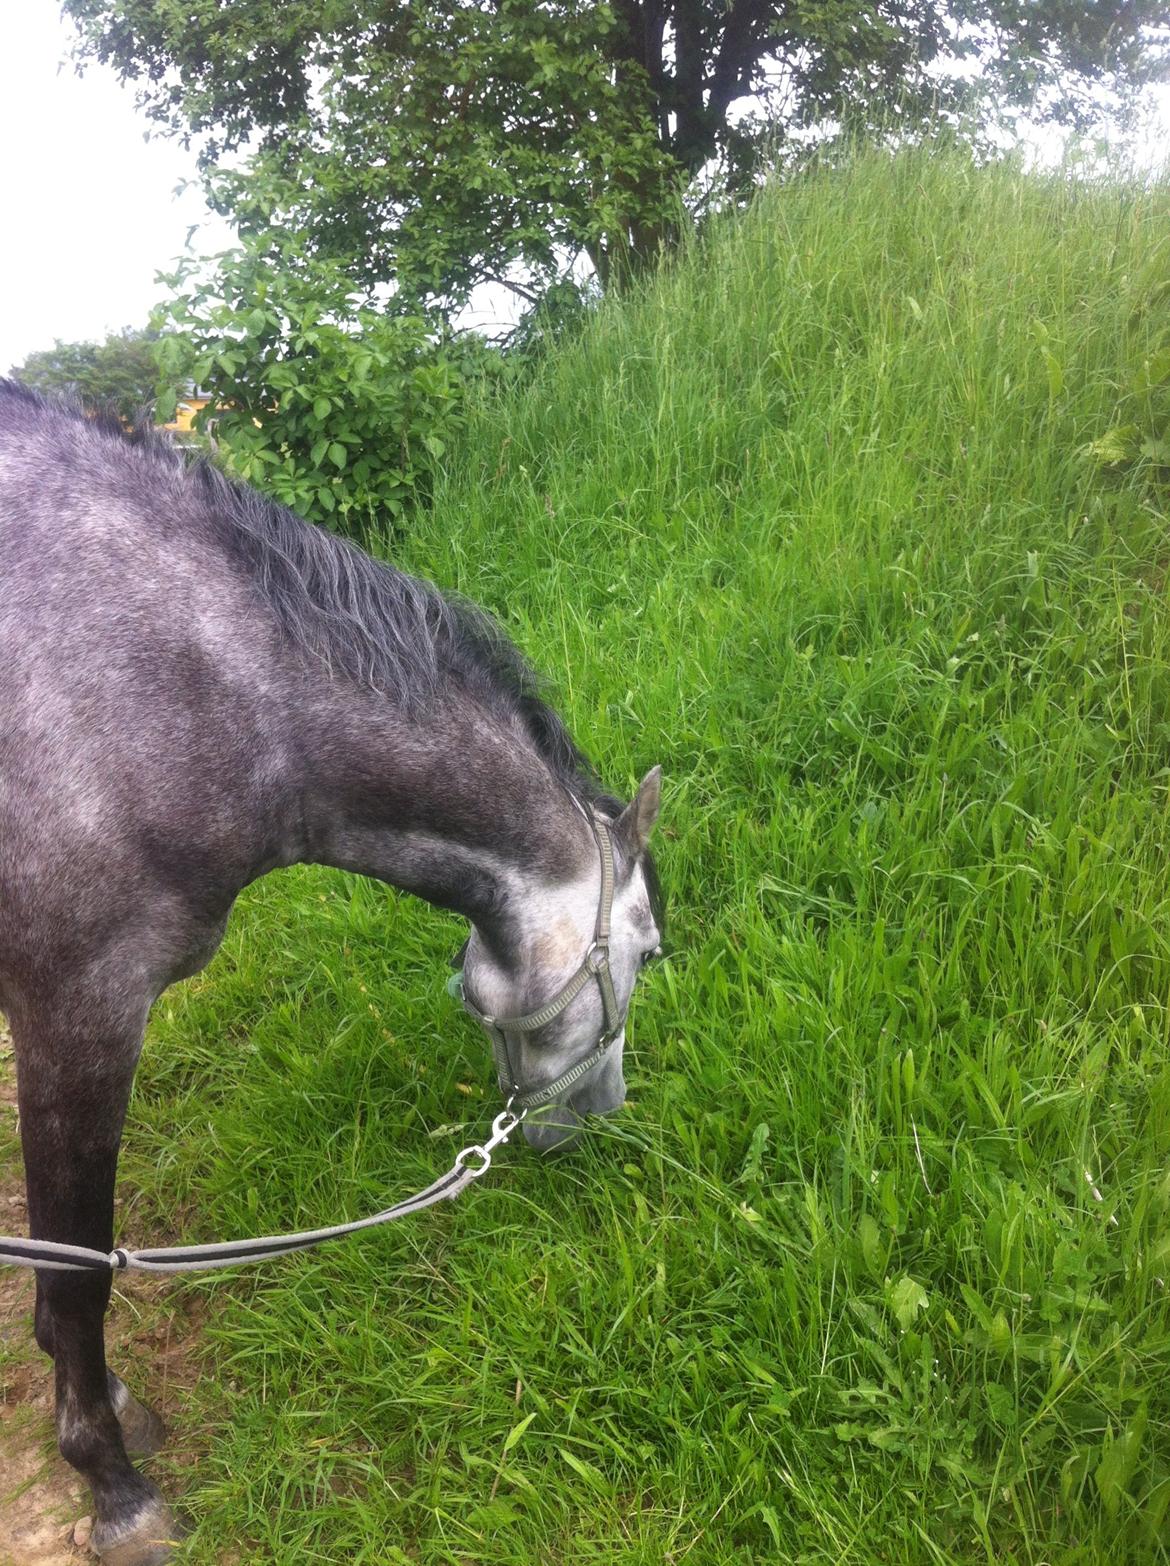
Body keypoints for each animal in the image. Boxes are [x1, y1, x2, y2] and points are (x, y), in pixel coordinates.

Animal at [0, 382, 657, 1566]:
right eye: (651, 953)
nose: (601, 1118)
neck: (190, 686)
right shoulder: (77, 1015)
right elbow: (75, 1272)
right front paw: (113, 1487)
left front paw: (110, 1403)